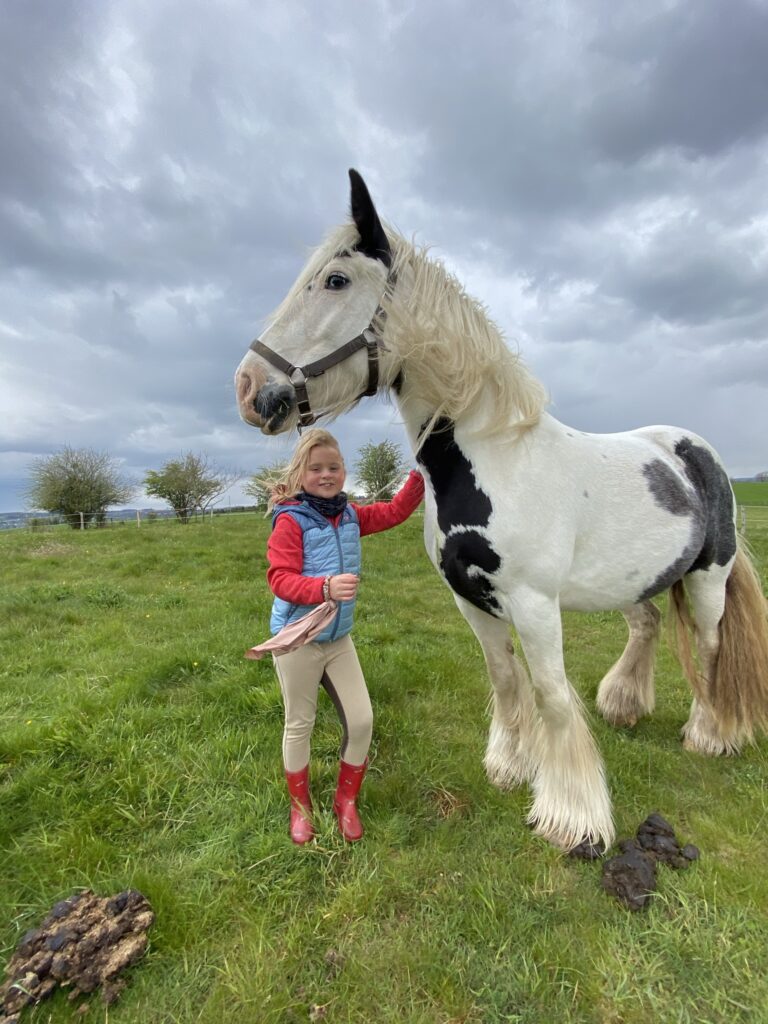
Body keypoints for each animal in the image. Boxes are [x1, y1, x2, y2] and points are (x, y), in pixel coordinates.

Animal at [235, 169, 768, 851]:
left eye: (335, 281)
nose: (249, 389)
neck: (495, 460)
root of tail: (696, 452)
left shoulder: (534, 604)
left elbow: (551, 695)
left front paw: (572, 818)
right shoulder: (472, 600)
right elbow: (506, 680)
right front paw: (511, 768)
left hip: (708, 578)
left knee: (709, 646)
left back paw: (709, 734)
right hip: (633, 582)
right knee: (646, 625)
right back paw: (624, 706)